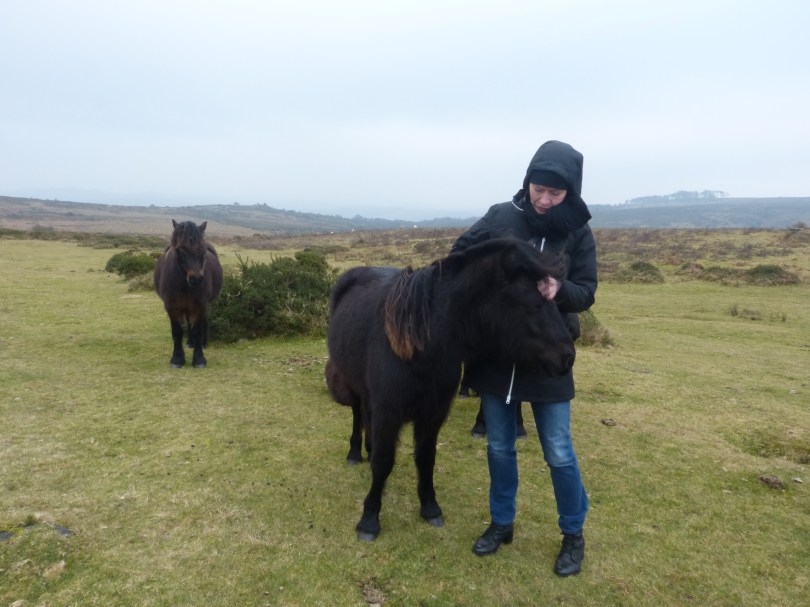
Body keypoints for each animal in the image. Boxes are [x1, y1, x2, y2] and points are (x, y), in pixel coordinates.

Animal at [154, 220, 223, 368]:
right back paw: (190, 342)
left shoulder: (200, 305)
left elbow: (197, 330)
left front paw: (199, 359)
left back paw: (203, 343)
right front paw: (177, 359)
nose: (196, 279)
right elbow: (177, 332)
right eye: (180, 249)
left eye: (202, 249)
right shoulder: (171, 307)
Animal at [325, 237, 576, 541]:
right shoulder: (389, 413)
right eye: (533, 304)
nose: (567, 357)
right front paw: (369, 520)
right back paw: (354, 453)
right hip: (354, 386)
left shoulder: (433, 414)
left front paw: (430, 508)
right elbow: (384, 461)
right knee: (358, 415)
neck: (420, 346)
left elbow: (426, 458)